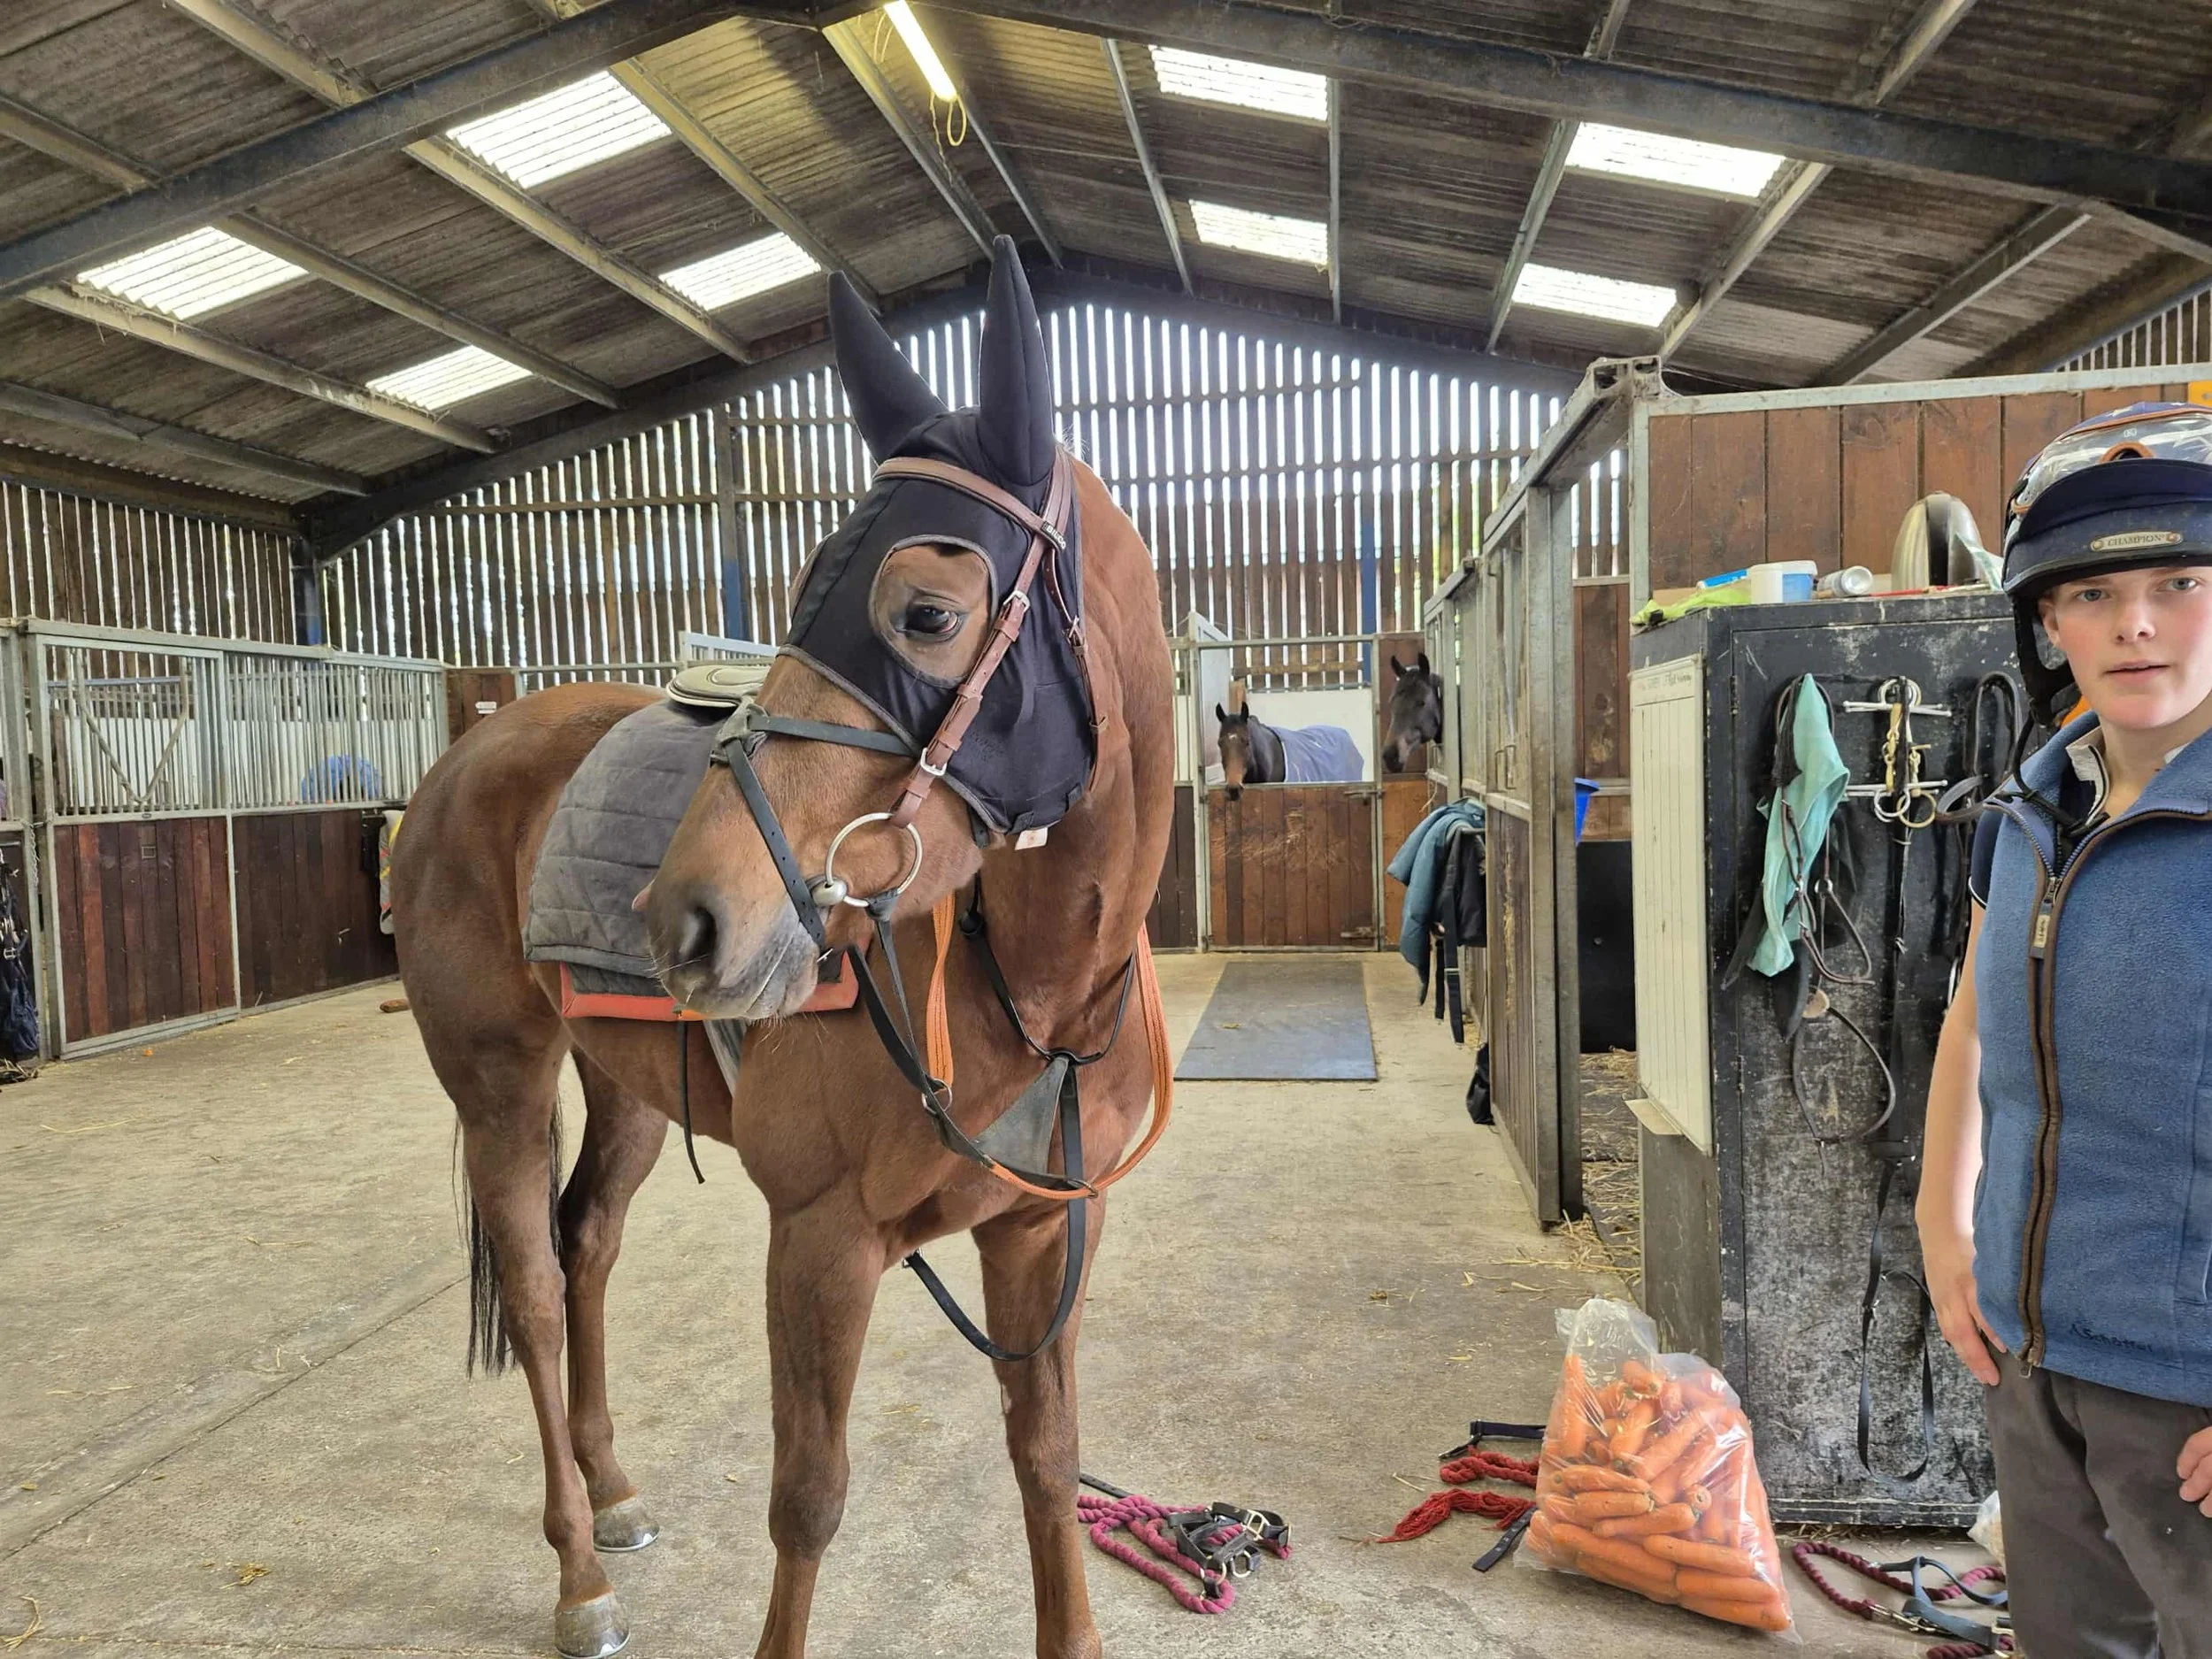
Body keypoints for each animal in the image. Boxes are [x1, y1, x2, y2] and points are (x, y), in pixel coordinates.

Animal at [392, 239, 1174, 1659]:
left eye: (927, 612)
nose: (686, 918)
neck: (1024, 993)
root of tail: (468, 753)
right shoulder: (820, 1240)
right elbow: (809, 1496)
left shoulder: (1040, 1236)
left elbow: (1047, 1461)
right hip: (499, 1085)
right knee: (533, 1286)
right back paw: (578, 1574)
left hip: (630, 1090)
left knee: (588, 1243)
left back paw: (613, 1488)